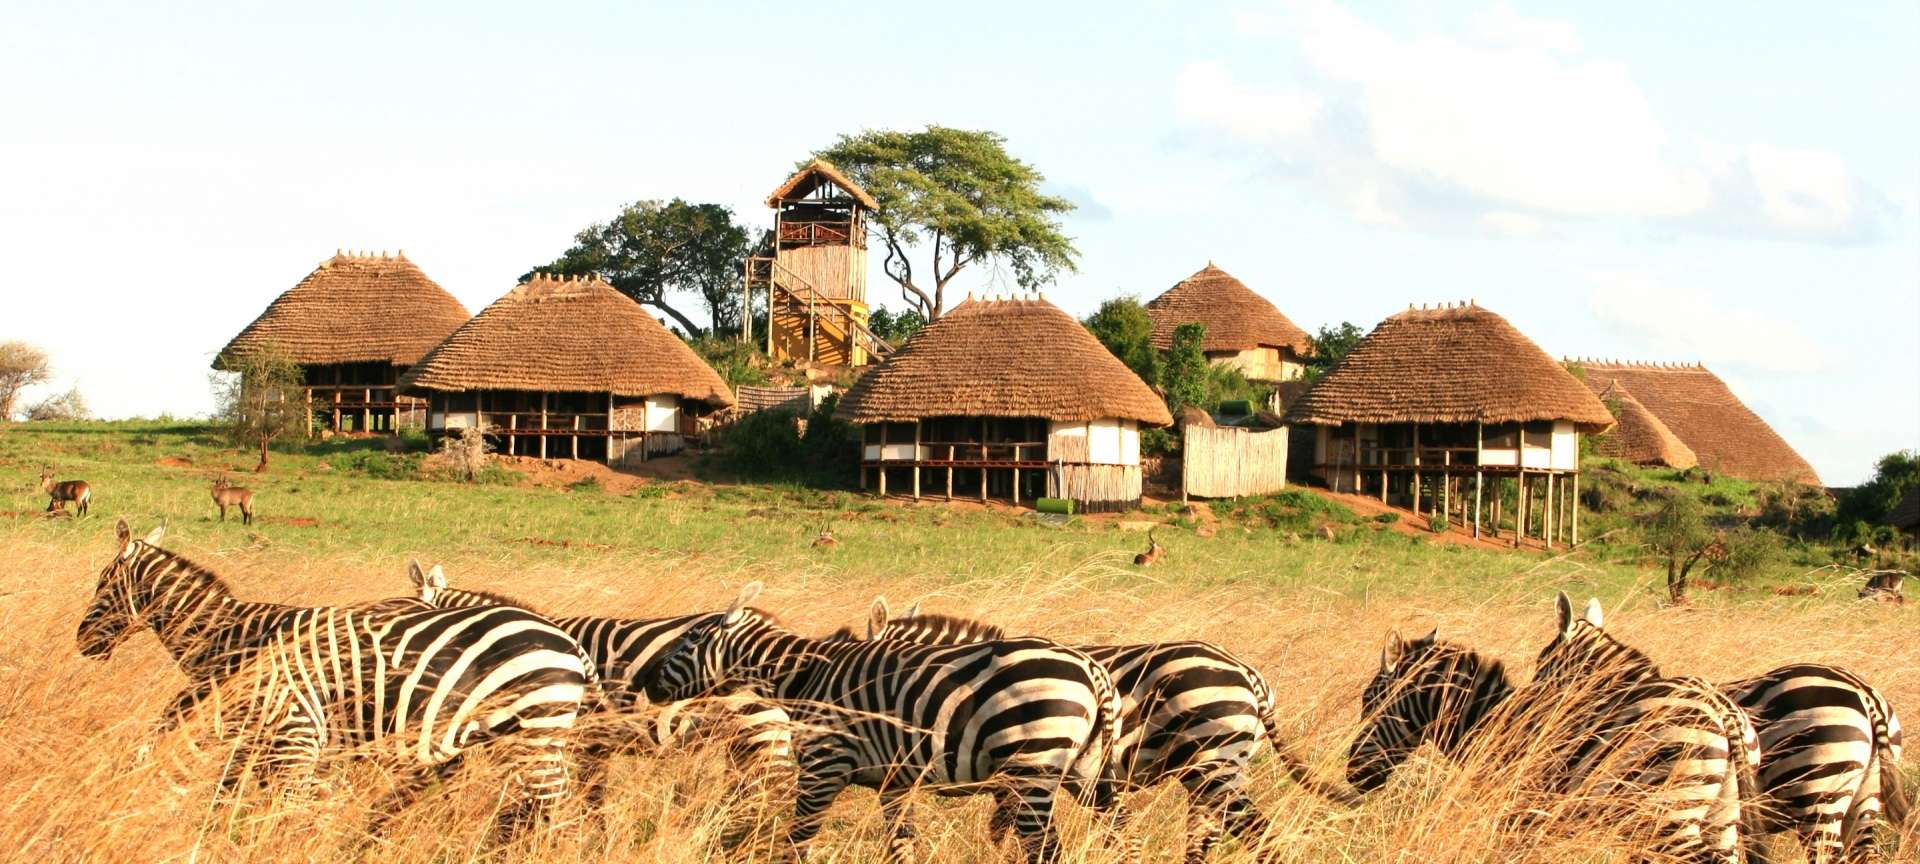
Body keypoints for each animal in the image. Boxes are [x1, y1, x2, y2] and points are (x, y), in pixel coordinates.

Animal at [74, 518, 587, 837]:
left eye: (101, 583)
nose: (82, 643)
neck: (230, 636)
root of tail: (565, 639)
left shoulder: (294, 732)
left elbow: (285, 806)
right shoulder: (261, 738)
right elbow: (229, 797)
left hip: (536, 733)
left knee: (554, 809)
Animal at [645, 579, 1121, 864]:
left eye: (688, 642)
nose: (647, 683)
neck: (804, 675)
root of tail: (1091, 670)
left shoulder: (823, 766)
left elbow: (799, 840)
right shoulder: (894, 780)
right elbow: (900, 845)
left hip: (1031, 770)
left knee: (1047, 850)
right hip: (1085, 773)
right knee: (1117, 830)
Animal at [844, 599, 1367, 864]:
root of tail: (1249, 676)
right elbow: (1006, 835)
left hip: (1214, 765)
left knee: (1256, 833)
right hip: (1214, 771)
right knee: (1226, 837)